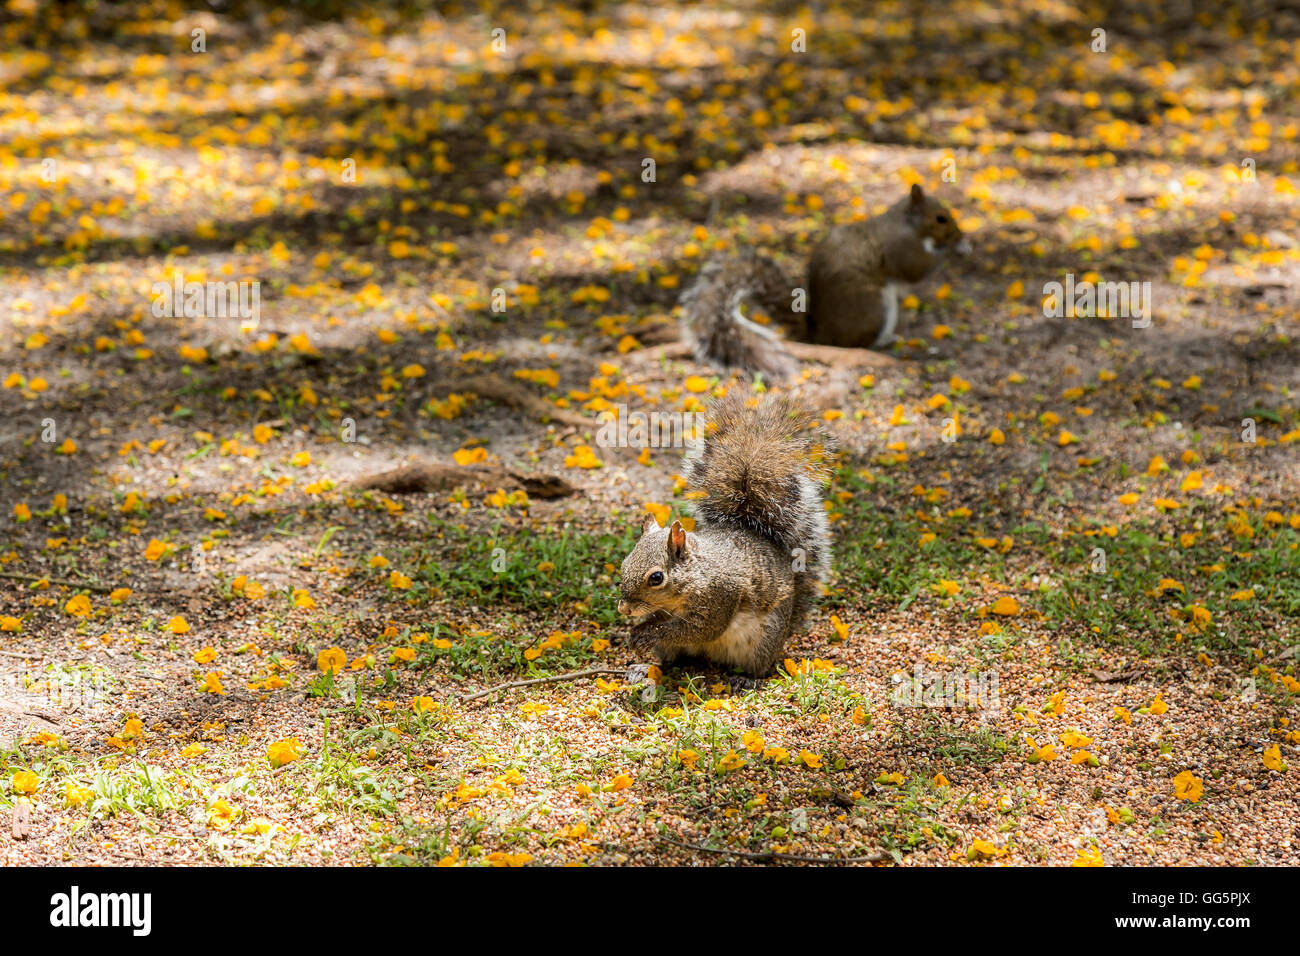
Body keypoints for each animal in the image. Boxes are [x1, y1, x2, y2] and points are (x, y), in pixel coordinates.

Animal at [617, 392, 832, 681]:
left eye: (656, 578)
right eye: (624, 564)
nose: (624, 609)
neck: (696, 575)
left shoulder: (720, 598)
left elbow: (697, 629)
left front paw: (648, 634)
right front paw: (637, 633)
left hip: (764, 640)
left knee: (760, 667)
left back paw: (744, 679)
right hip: (676, 651)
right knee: (674, 661)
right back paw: (646, 669)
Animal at [680, 184, 965, 376]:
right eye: (941, 218)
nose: (959, 234)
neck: (905, 222)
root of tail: (818, 335)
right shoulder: (900, 248)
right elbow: (917, 270)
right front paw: (955, 249)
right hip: (874, 308)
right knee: (855, 345)